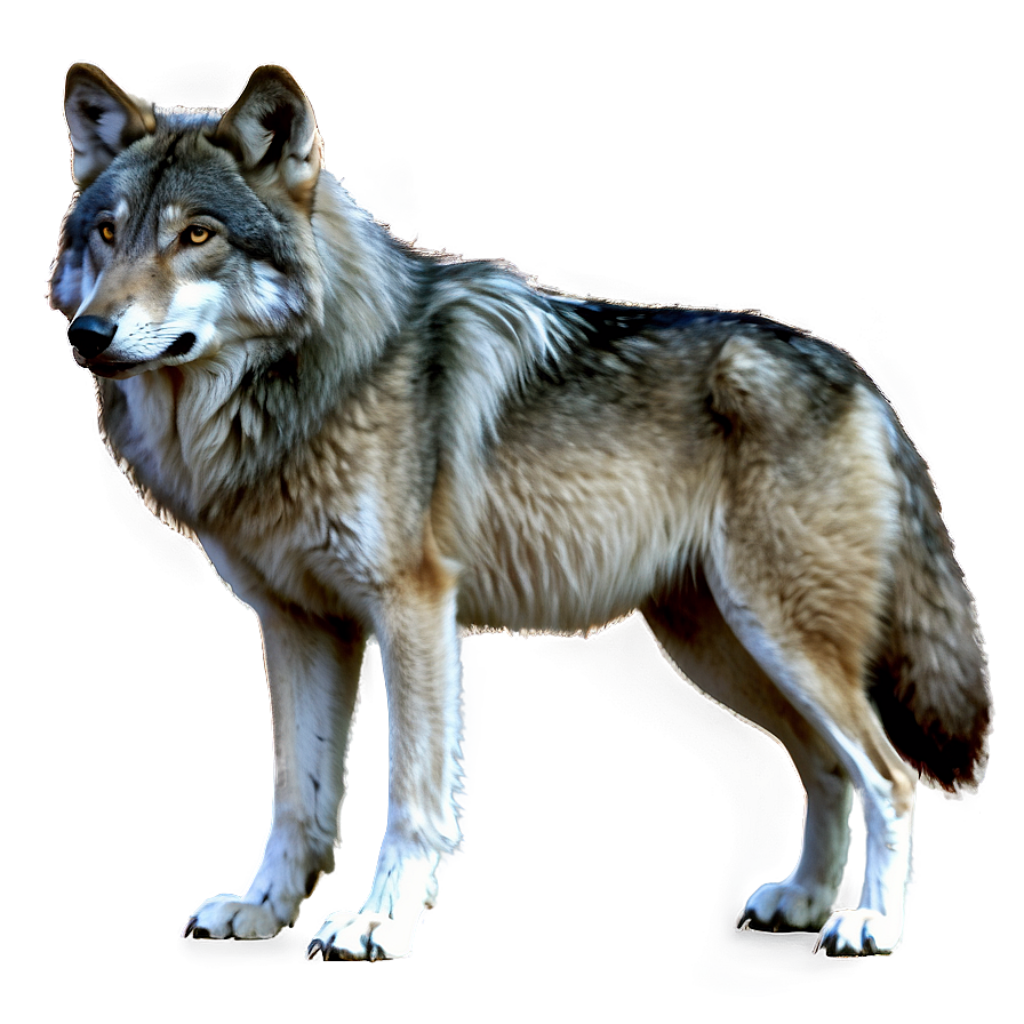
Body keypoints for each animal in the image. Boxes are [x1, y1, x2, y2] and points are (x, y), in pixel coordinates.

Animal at [48, 60, 991, 963]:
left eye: (196, 236)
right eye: (107, 232)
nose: (88, 334)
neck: (312, 382)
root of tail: (863, 385)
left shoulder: (414, 611)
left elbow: (411, 799)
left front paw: (378, 925)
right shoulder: (299, 625)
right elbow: (298, 800)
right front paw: (264, 909)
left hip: (776, 638)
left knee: (888, 775)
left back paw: (871, 926)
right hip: (719, 647)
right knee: (827, 765)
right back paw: (802, 902)